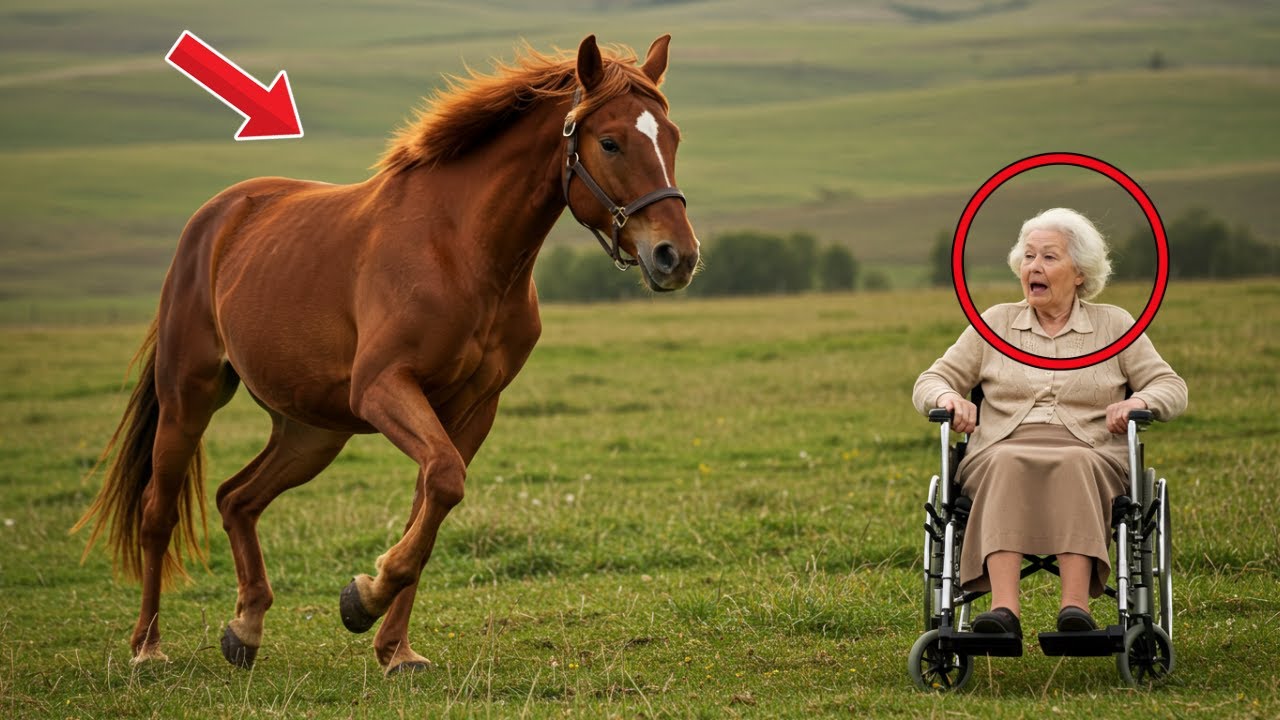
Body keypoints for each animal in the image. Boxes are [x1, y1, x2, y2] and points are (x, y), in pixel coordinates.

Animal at [73, 34, 699, 675]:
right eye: (610, 142)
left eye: (673, 138)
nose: (676, 256)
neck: (462, 249)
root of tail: (217, 217)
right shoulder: (382, 388)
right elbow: (443, 481)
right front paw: (364, 600)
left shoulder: (473, 408)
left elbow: (432, 501)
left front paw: (393, 646)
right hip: (189, 397)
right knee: (158, 512)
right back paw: (147, 647)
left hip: (311, 433)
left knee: (237, 499)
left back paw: (245, 628)